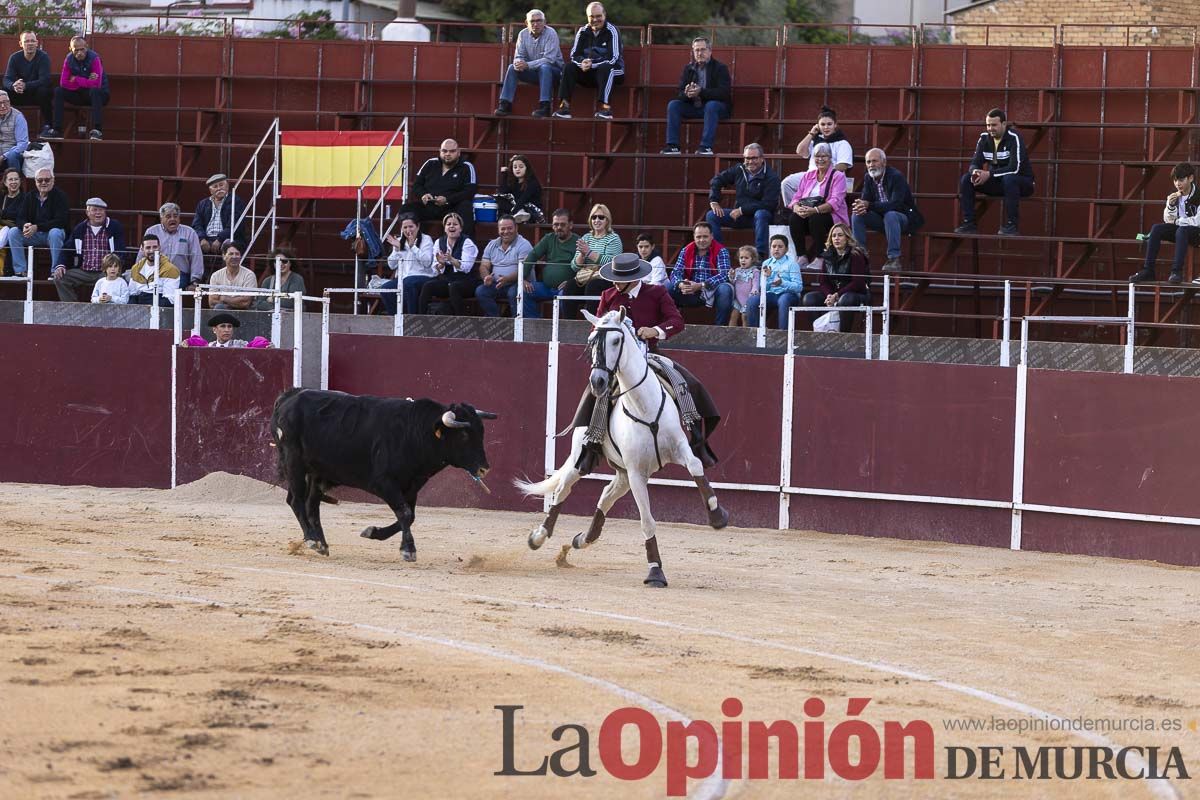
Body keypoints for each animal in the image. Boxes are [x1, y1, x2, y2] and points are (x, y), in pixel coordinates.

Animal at [270, 391, 494, 561]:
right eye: (464, 435)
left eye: (482, 432)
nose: (484, 469)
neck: (414, 432)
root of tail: (290, 396)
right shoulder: (383, 483)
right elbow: (405, 513)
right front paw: (408, 550)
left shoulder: (412, 486)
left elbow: (410, 515)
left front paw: (373, 532)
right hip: (294, 463)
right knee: (296, 500)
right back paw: (311, 539)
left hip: (318, 472)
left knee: (312, 505)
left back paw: (322, 543)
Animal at [511, 307, 724, 587]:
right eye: (591, 342)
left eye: (616, 340)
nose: (598, 381)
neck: (643, 406)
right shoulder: (636, 473)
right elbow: (647, 521)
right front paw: (655, 572)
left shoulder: (679, 449)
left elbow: (697, 466)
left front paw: (717, 516)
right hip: (584, 461)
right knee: (562, 490)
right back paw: (538, 537)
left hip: (622, 474)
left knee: (605, 495)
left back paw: (582, 539)